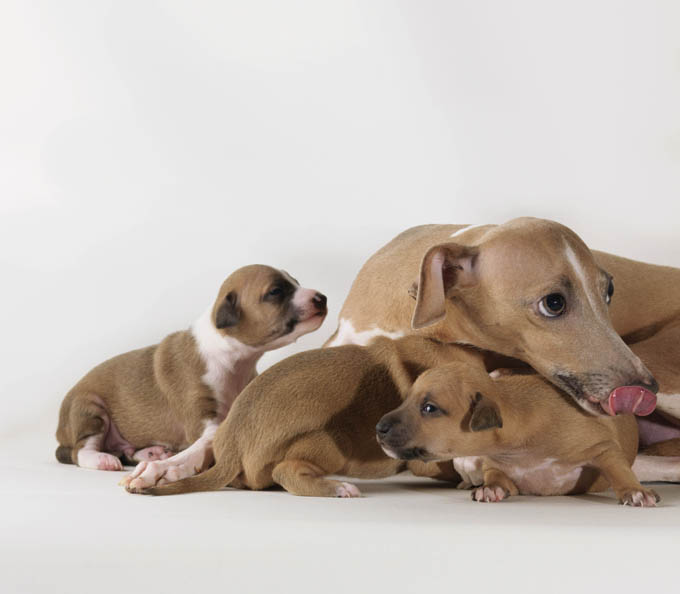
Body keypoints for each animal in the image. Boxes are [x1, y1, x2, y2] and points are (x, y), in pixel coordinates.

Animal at [55, 264, 326, 490]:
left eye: (295, 281)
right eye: (276, 291)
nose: (321, 298)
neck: (230, 358)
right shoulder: (203, 418)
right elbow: (202, 443)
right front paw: (163, 470)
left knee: (125, 448)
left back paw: (150, 453)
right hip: (89, 408)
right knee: (82, 449)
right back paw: (104, 459)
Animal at [378, 360, 660, 504]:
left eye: (429, 408)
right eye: (406, 399)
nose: (379, 428)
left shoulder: (601, 447)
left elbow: (617, 468)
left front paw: (634, 490)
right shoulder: (496, 465)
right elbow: (496, 477)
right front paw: (490, 488)